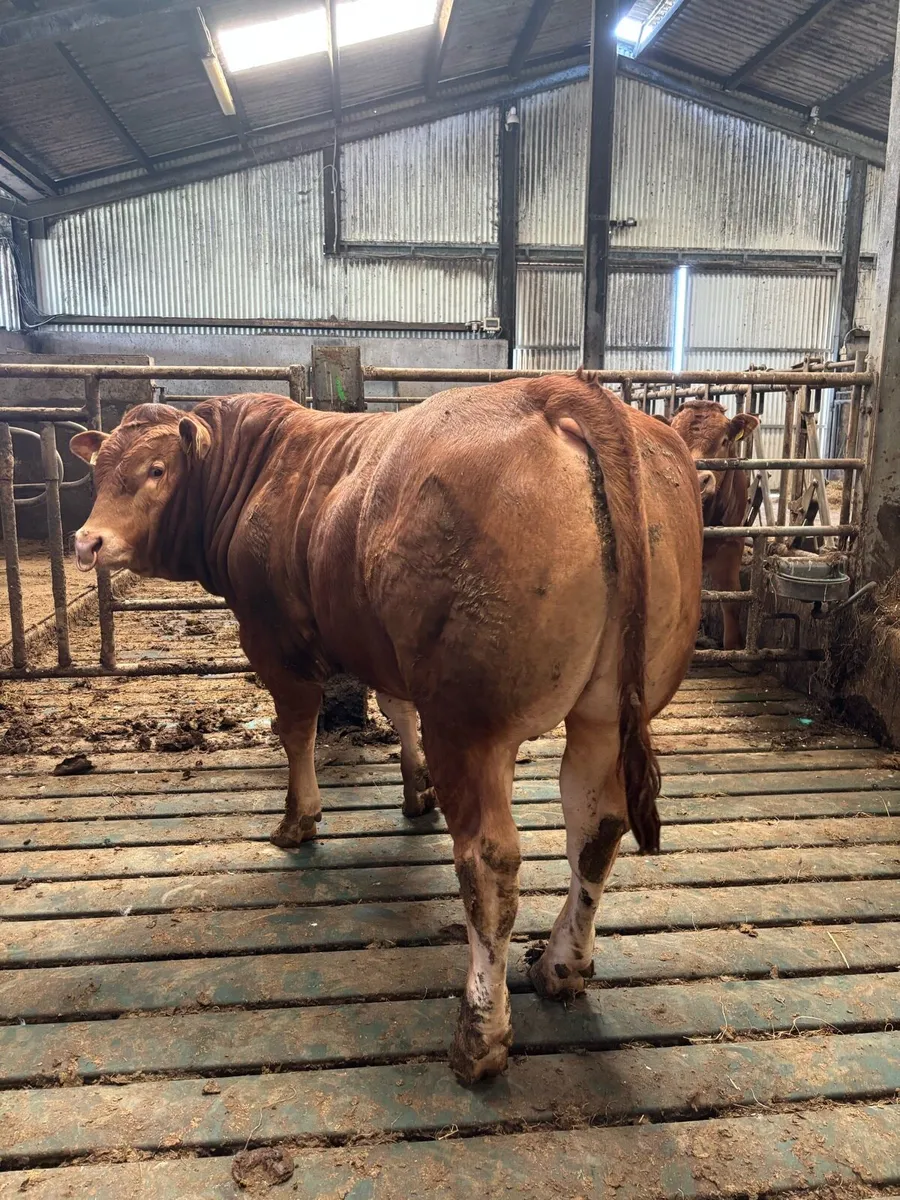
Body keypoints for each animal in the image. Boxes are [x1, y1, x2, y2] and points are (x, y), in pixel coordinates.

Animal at [70, 371, 702, 1085]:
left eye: (155, 470)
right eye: (97, 469)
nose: (87, 541)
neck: (259, 467)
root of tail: (559, 390)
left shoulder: (269, 637)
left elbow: (297, 729)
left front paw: (298, 819)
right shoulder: (382, 649)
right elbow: (396, 710)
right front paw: (414, 790)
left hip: (470, 721)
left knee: (490, 861)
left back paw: (479, 1035)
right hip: (605, 713)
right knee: (596, 826)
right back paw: (560, 966)